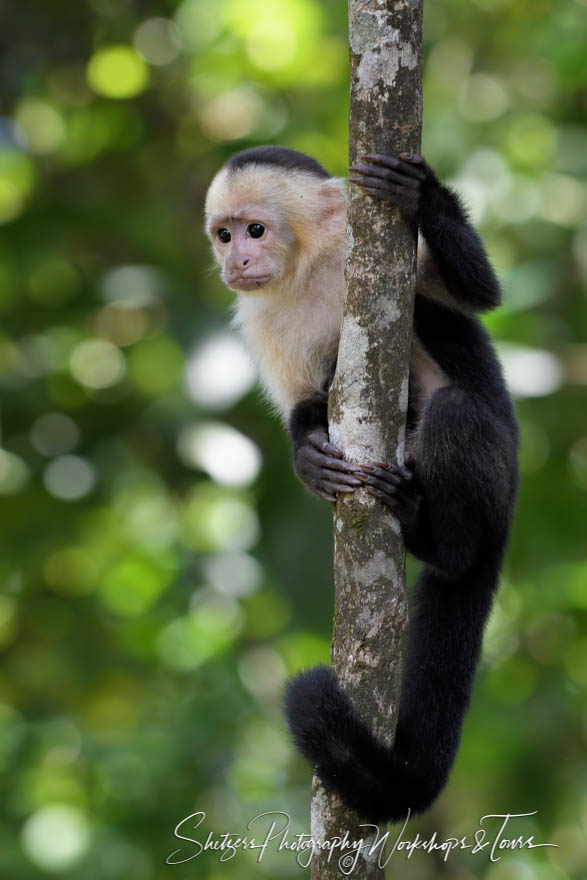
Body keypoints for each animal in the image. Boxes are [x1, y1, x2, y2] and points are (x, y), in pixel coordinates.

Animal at [206, 146, 520, 824]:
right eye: (223, 234)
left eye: (255, 230)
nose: (235, 262)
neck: (309, 273)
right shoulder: (262, 317)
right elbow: (304, 401)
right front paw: (309, 458)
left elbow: (479, 293)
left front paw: (419, 194)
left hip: (497, 480)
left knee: (456, 413)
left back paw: (440, 542)